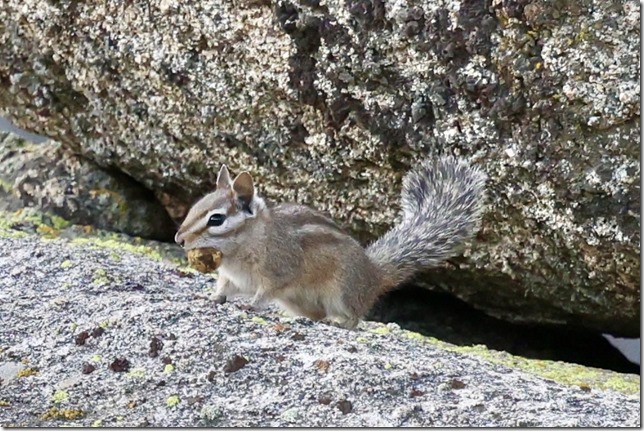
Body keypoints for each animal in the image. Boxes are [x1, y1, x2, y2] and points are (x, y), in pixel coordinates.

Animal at [175, 155, 487, 328]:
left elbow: (264, 293)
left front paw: (251, 306)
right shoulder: (231, 278)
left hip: (342, 292)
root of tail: (374, 274)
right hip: (299, 301)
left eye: (216, 219)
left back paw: (339, 323)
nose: (179, 238)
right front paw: (211, 298)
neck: (244, 245)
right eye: (196, 206)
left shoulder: (278, 272)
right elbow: (223, 289)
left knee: (355, 318)